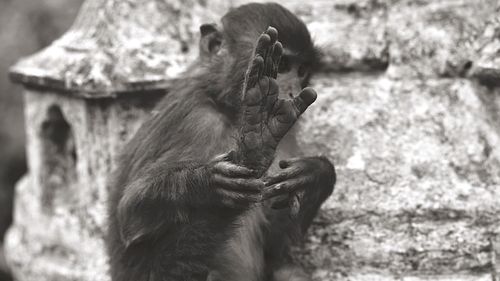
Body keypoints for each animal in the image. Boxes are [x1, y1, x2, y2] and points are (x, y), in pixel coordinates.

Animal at [108, 2, 336, 280]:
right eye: (281, 64)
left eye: (302, 71)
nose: (293, 90)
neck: (226, 107)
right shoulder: (195, 120)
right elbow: (130, 213)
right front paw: (204, 183)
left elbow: (273, 246)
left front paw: (316, 175)